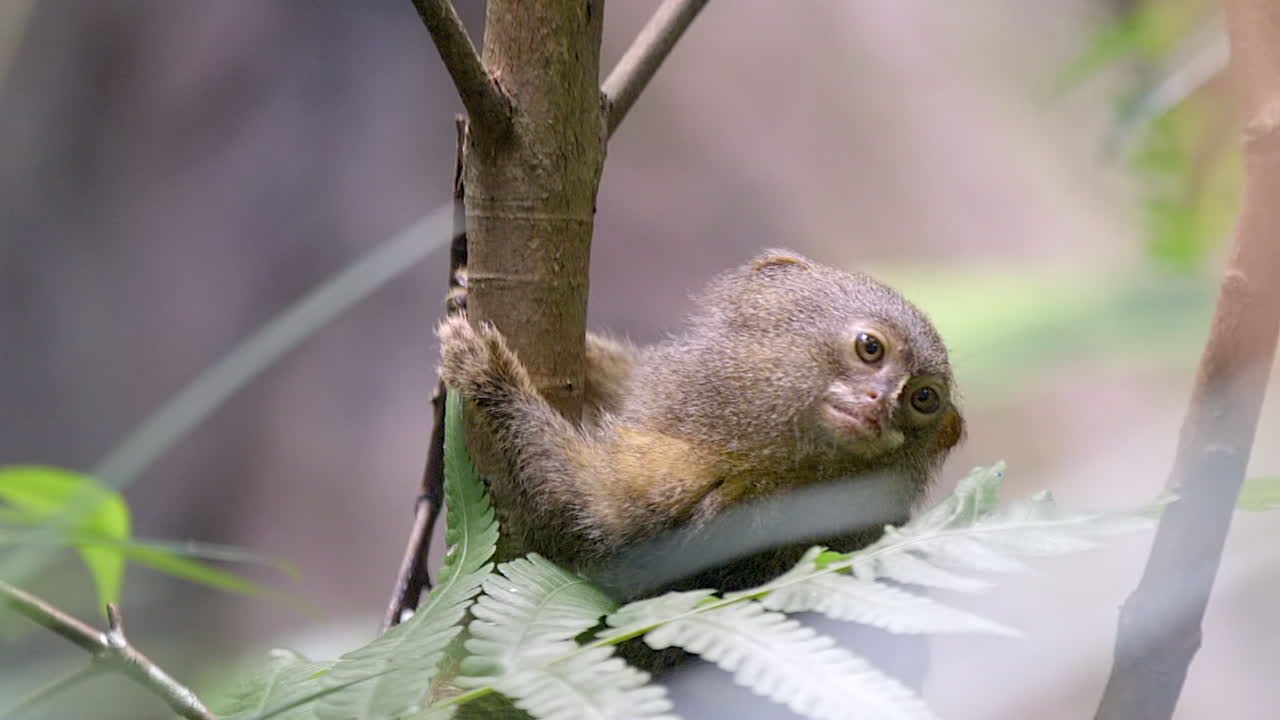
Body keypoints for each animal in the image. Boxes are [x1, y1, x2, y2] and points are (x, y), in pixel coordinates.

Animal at [437, 249, 965, 600]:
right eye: (870, 347)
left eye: (921, 399)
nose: (878, 404)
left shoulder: (738, 500)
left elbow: (585, 521)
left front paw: (491, 376)